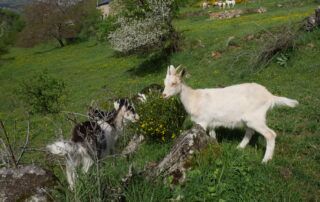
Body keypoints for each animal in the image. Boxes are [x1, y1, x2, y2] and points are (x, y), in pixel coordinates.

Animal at [164, 65, 298, 163]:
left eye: (174, 83)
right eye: (164, 83)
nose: (163, 95)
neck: (194, 98)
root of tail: (270, 96)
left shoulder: (203, 121)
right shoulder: (211, 122)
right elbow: (212, 136)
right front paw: (216, 148)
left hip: (255, 118)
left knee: (270, 134)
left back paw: (265, 161)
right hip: (250, 119)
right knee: (250, 132)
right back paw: (239, 148)